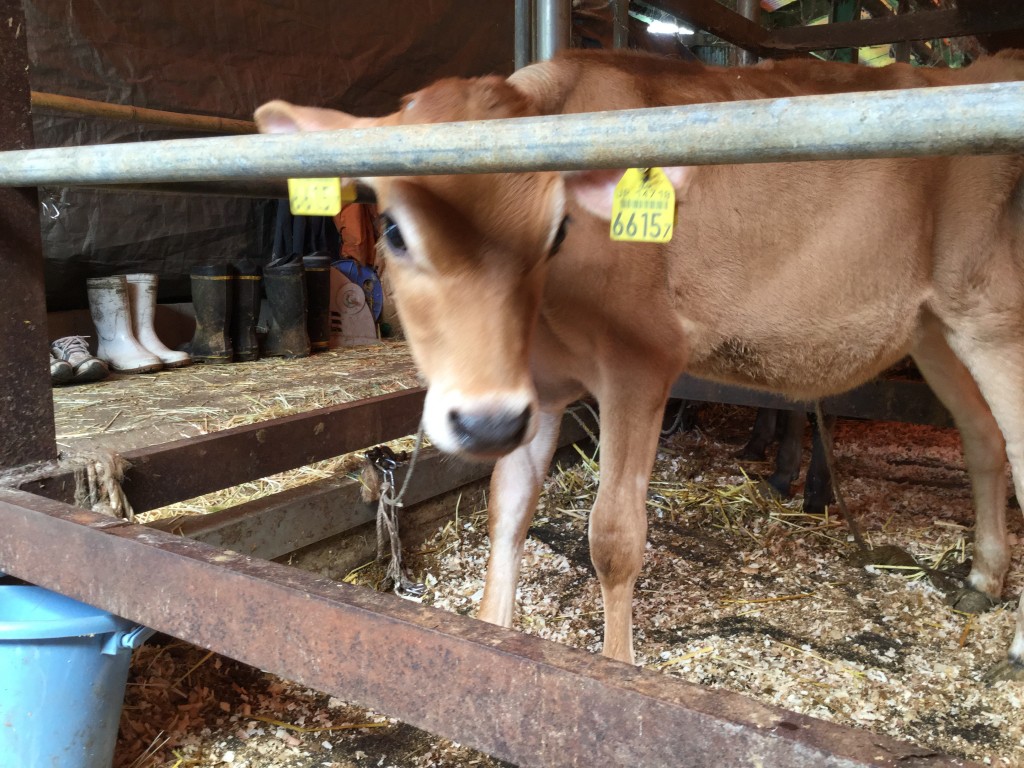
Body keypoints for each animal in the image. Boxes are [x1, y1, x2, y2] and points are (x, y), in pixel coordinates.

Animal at [258, 51, 1024, 684]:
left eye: (555, 232)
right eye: (393, 230)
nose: (481, 422)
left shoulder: (641, 362)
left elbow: (614, 537)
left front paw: (620, 674)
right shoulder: (533, 392)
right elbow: (507, 511)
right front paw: (491, 638)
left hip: (994, 312)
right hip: (934, 326)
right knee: (983, 437)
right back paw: (983, 579)